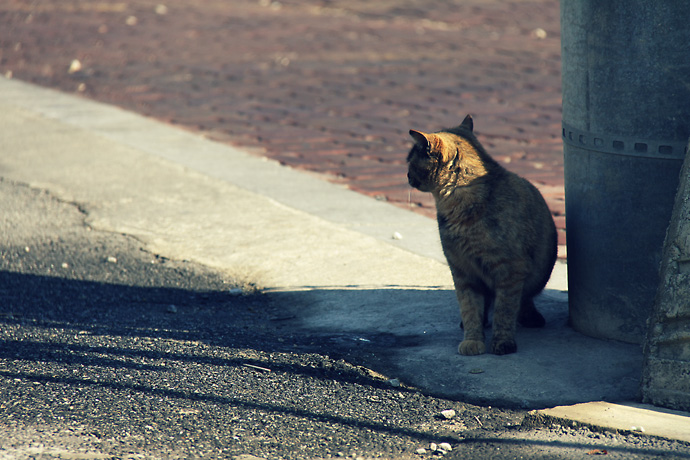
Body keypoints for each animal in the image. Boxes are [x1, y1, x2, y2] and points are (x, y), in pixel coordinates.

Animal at [406, 115, 556, 356]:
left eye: (410, 161)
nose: (407, 175)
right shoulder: (462, 270)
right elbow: (470, 309)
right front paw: (473, 340)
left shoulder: (510, 270)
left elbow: (505, 310)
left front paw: (502, 342)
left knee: (525, 299)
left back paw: (530, 317)